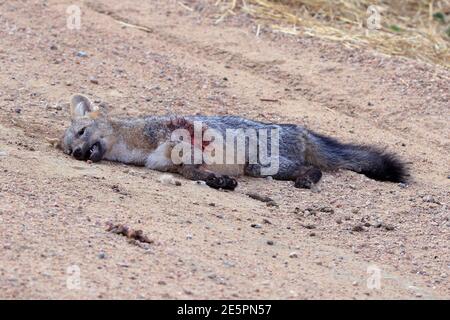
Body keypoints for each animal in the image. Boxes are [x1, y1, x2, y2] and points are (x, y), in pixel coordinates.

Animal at [59, 94, 408, 190]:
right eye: (68, 148)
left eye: (81, 133)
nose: (76, 153)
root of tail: (299, 128)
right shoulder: (172, 163)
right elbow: (191, 172)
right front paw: (218, 181)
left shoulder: (185, 137)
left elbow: (192, 158)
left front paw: (218, 179)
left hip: (262, 165)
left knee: (314, 169)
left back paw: (307, 180)